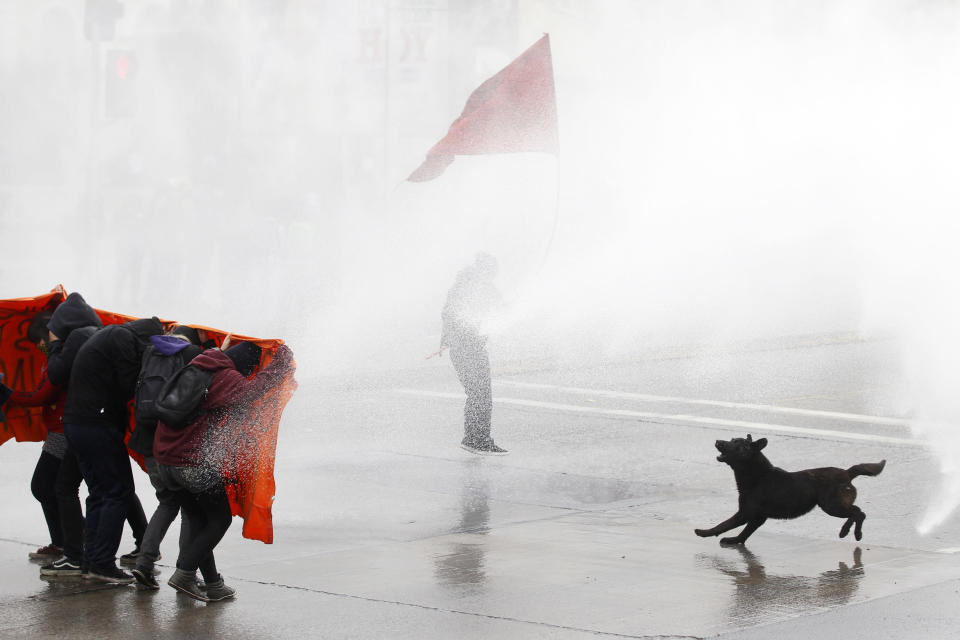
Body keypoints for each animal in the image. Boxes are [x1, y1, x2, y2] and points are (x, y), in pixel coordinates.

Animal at [688, 436, 884, 544]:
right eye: (731, 439)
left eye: (736, 443)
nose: (717, 441)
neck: (758, 475)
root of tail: (847, 473)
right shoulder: (758, 518)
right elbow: (746, 532)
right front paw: (736, 541)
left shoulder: (746, 513)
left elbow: (724, 524)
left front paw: (704, 532)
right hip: (835, 505)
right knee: (857, 512)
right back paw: (848, 531)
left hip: (832, 506)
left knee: (859, 513)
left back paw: (851, 532)